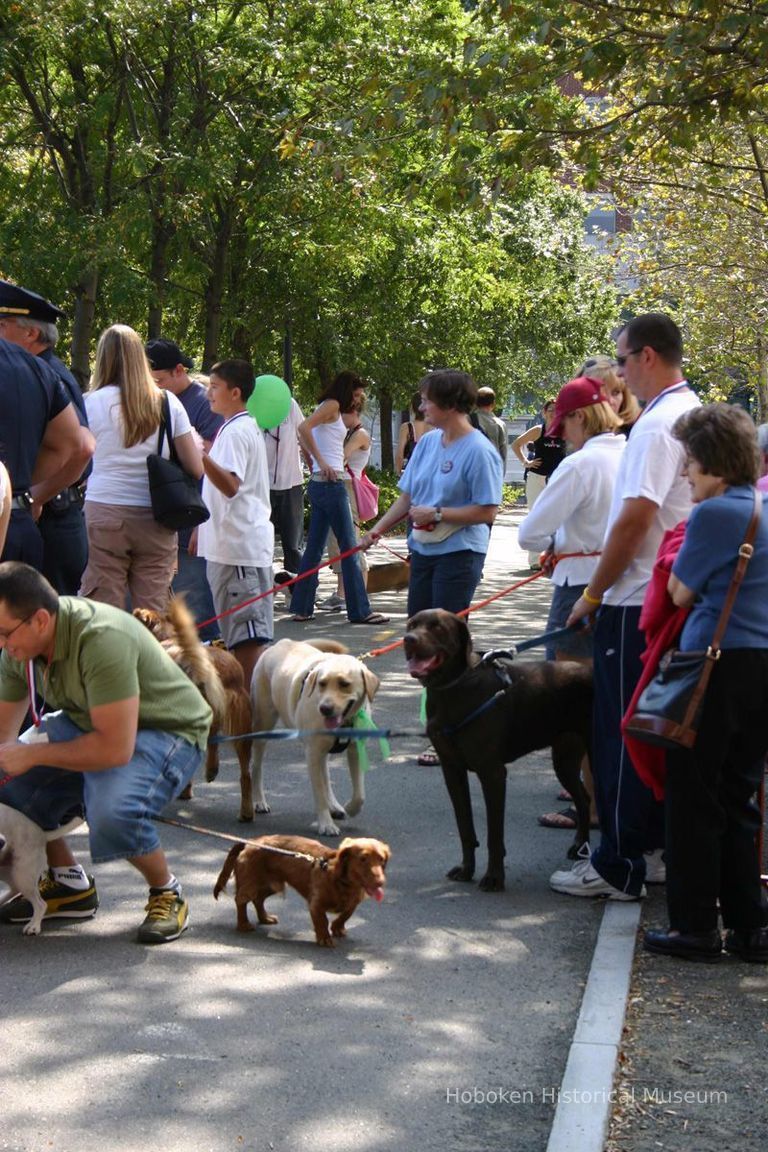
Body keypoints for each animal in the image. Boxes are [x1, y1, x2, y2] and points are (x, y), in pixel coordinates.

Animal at [213, 838, 391, 944]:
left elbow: (345, 915)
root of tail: (250, 842)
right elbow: (322, 921)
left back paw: (265, 918)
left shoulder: (353, 903)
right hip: (251, 885)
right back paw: (243, 924)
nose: (380, 882)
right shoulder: (316, 904)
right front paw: (325, 938)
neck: (344, 882)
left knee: (258, 899)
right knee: (241, 900)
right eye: (363, 859)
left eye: (381, 859)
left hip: (272, 885)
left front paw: (337, 929)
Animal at [252, 640, 382, 838]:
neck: (344, 722)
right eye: (322, 684)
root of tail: (281, 643)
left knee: (326, 776)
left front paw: (350, 808)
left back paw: (335, 806)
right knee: (256, 766)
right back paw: (259, 801)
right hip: (263, 725)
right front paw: (326, 824)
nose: (325, 709)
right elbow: (319, 793)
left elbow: (359, 795)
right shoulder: (312, 753)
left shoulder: (355, 750)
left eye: (344, 684)